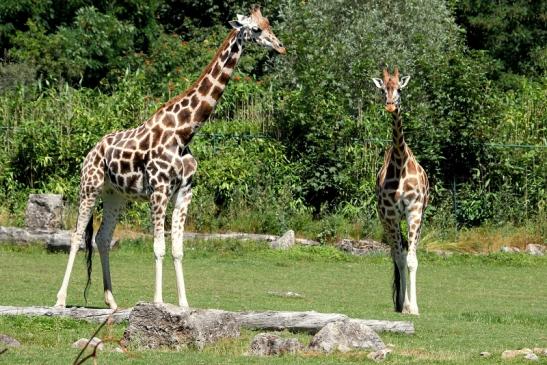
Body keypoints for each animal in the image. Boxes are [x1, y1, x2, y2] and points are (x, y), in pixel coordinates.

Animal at [55, 4, 286, 308]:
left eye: (269, 23)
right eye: (257, 29)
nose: (281, 47)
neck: (184, 133)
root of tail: (91, 151)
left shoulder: (185, 191)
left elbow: (177, 249)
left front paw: (184, 304)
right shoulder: (159, 190)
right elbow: (158, 247)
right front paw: (158, 302)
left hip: (115, 195)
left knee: (103, 238)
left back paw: (112, 301)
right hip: (89, 186)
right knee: (76, 236)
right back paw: (59, 300)